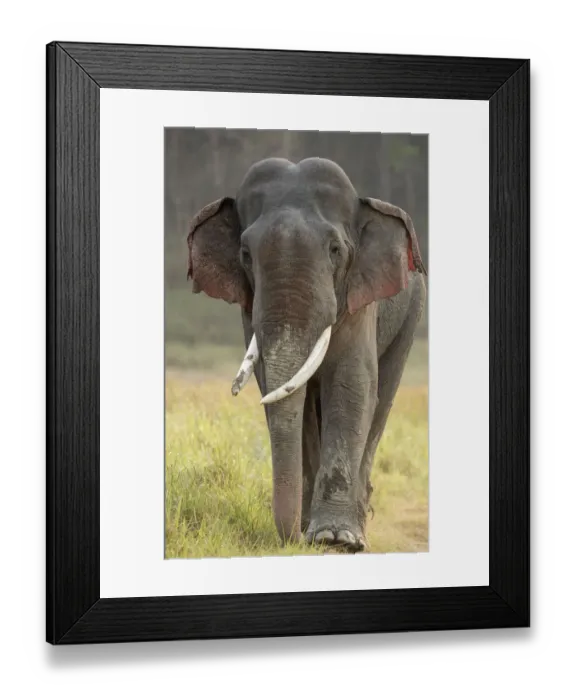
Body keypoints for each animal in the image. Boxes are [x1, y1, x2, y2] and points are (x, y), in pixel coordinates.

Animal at [186, 156, 427, 552]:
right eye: (245, 255)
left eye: (335, 250)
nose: (293, 539)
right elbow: (275, 387)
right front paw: (313, 533)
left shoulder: (360, 296)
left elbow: (351, 384)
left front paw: (337, 538)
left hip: (411, 312)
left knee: (383, 396)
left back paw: (355, 529)